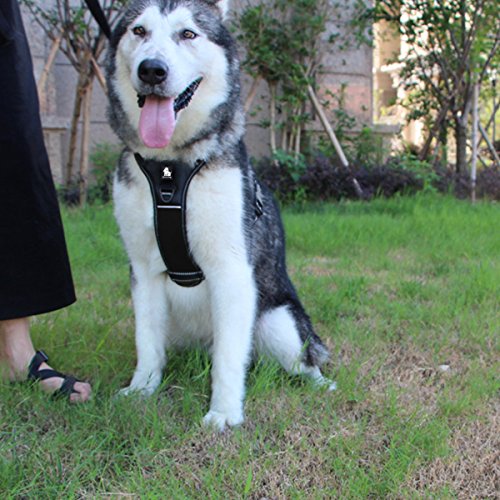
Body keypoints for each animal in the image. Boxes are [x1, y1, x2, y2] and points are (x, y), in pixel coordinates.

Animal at [106, 0, 334, 430]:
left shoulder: (231, 270)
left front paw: (224, 412)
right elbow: (146, 342)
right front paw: (142, 389)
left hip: (279, 322)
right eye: (139, 31)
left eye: (188, 34)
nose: (152, 70)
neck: (171, 169)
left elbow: (229, 359)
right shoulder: (141, 270)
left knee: (301, 361)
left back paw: (321, 384)